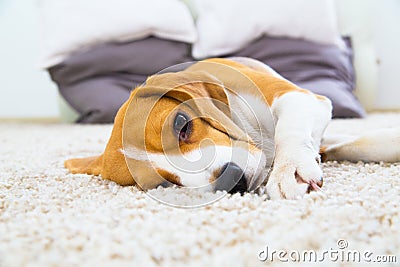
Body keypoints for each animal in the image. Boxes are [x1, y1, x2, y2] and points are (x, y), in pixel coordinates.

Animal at [65, 57, 400, 200]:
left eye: (182, 125)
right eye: (160, 184)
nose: (231, 180)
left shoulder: (300, 98)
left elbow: (293, 134)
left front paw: (289, 169)